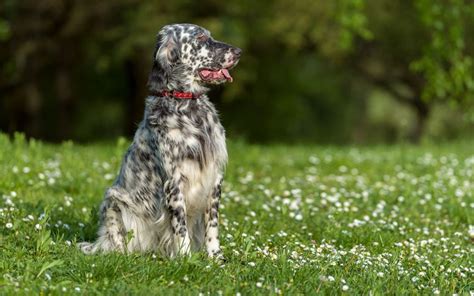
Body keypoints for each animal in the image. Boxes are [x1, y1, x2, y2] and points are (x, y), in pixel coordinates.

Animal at [79, 23, 241, 260]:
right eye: (201, 38)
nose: (238, 52)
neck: (188, 107)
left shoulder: (214, 176)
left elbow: (212, 224)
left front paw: (215, 257)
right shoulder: (174, 180)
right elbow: (180, 226)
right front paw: (185, 259)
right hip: (113, 200)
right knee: (116, 243)